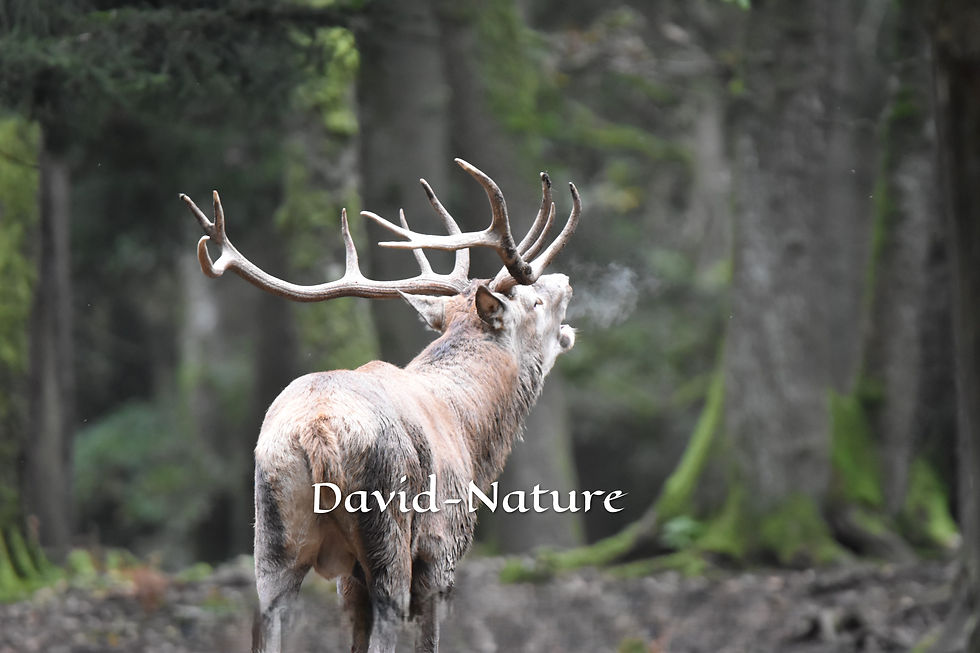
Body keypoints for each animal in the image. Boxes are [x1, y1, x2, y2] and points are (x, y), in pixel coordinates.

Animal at [179, 159, 580, 653]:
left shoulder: (349, 580)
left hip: (272, 535)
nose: (566, 282)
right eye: (535, 301)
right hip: (388, 526)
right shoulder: (443, 548)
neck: (472, 436)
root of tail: (318, 431)